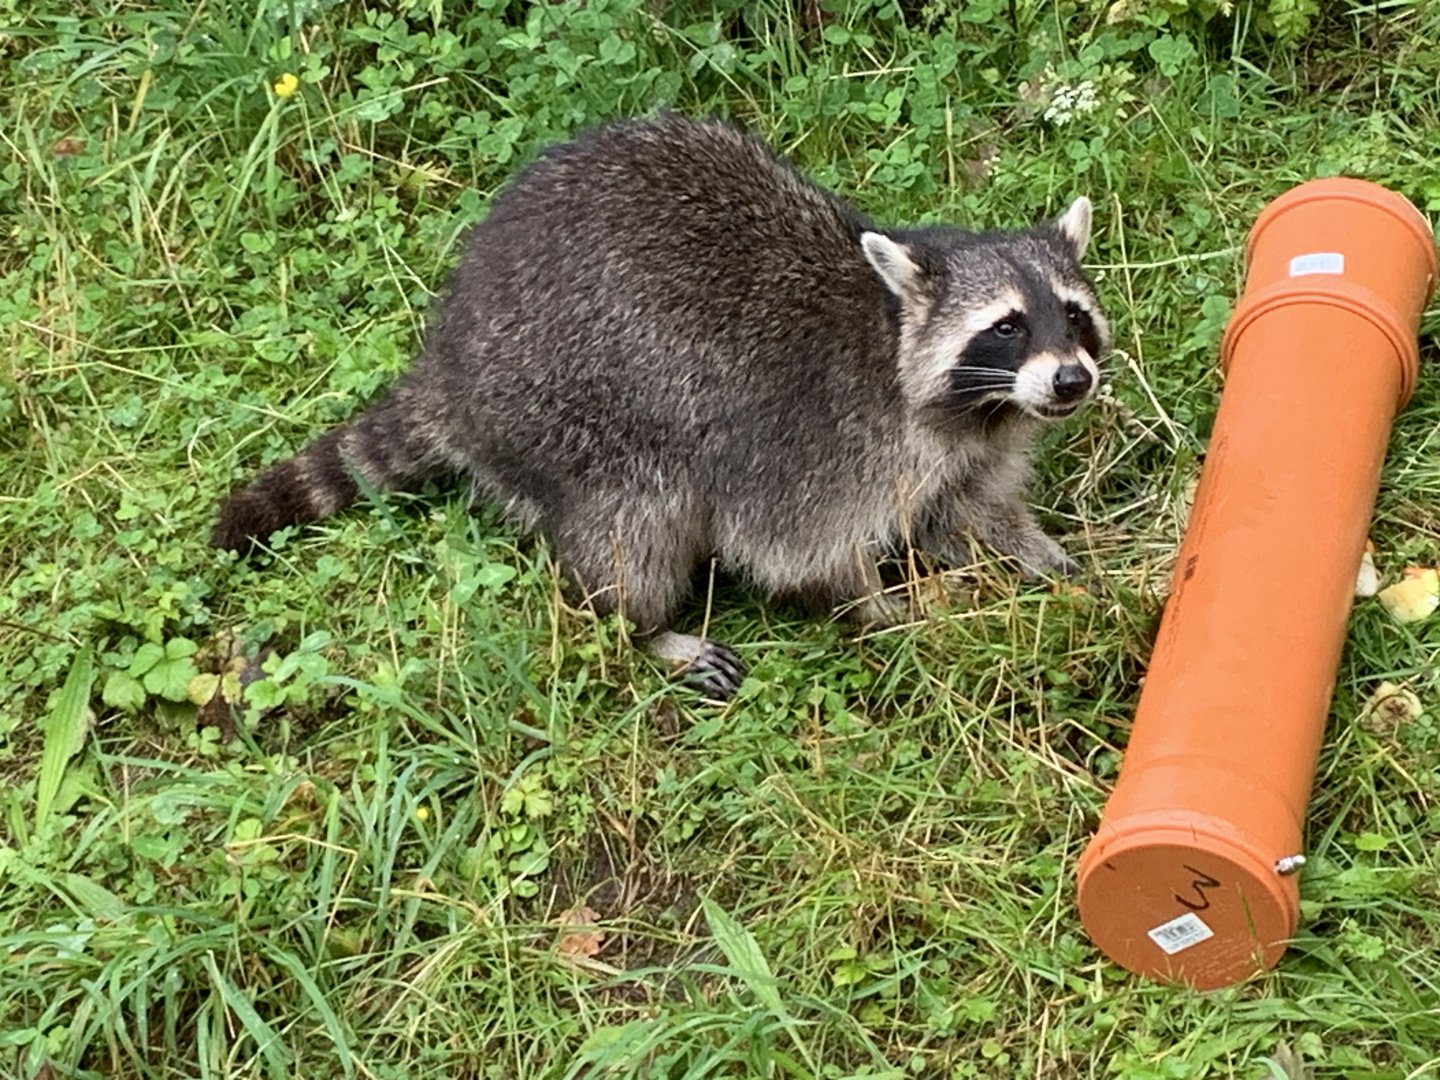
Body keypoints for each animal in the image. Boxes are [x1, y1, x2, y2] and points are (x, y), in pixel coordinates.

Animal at [212, 113, 1109, 699]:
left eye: (1073, 316)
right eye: (1006, 326)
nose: (1072, 381)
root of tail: (452, 357)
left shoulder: (967, 446)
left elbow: (964, 512)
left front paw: (1038, 556)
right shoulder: (814, 438)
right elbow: (797, 552)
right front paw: (881, 607)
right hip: (573, 423)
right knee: (633, 532)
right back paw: (642, 630)